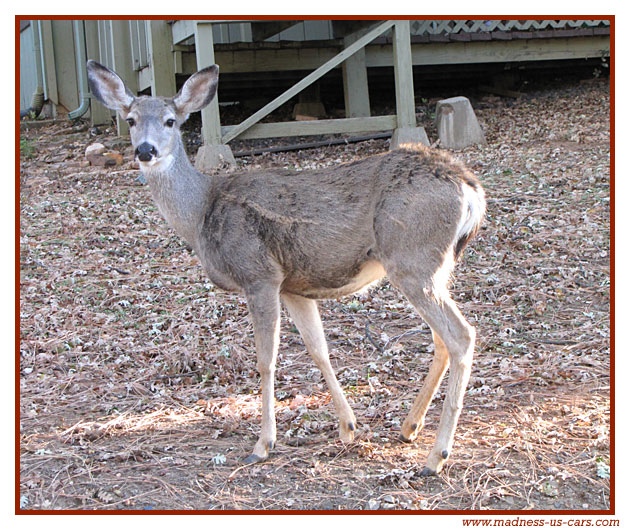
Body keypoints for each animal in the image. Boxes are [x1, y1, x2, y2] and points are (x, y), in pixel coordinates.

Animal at [86, 58, 486, 474]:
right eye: (131, 119)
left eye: (170, 121)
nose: (145, 150)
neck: (200, 212)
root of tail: (470, 188)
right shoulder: (294, 285)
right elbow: (318, 350)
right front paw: (348, 427)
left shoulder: (259, 275)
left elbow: (266, 360)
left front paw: (263, 443)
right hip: (435, 266)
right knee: (442, 338)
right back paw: (409, 427)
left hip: (412, 258)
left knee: (461, 335)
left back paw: (436, 455)